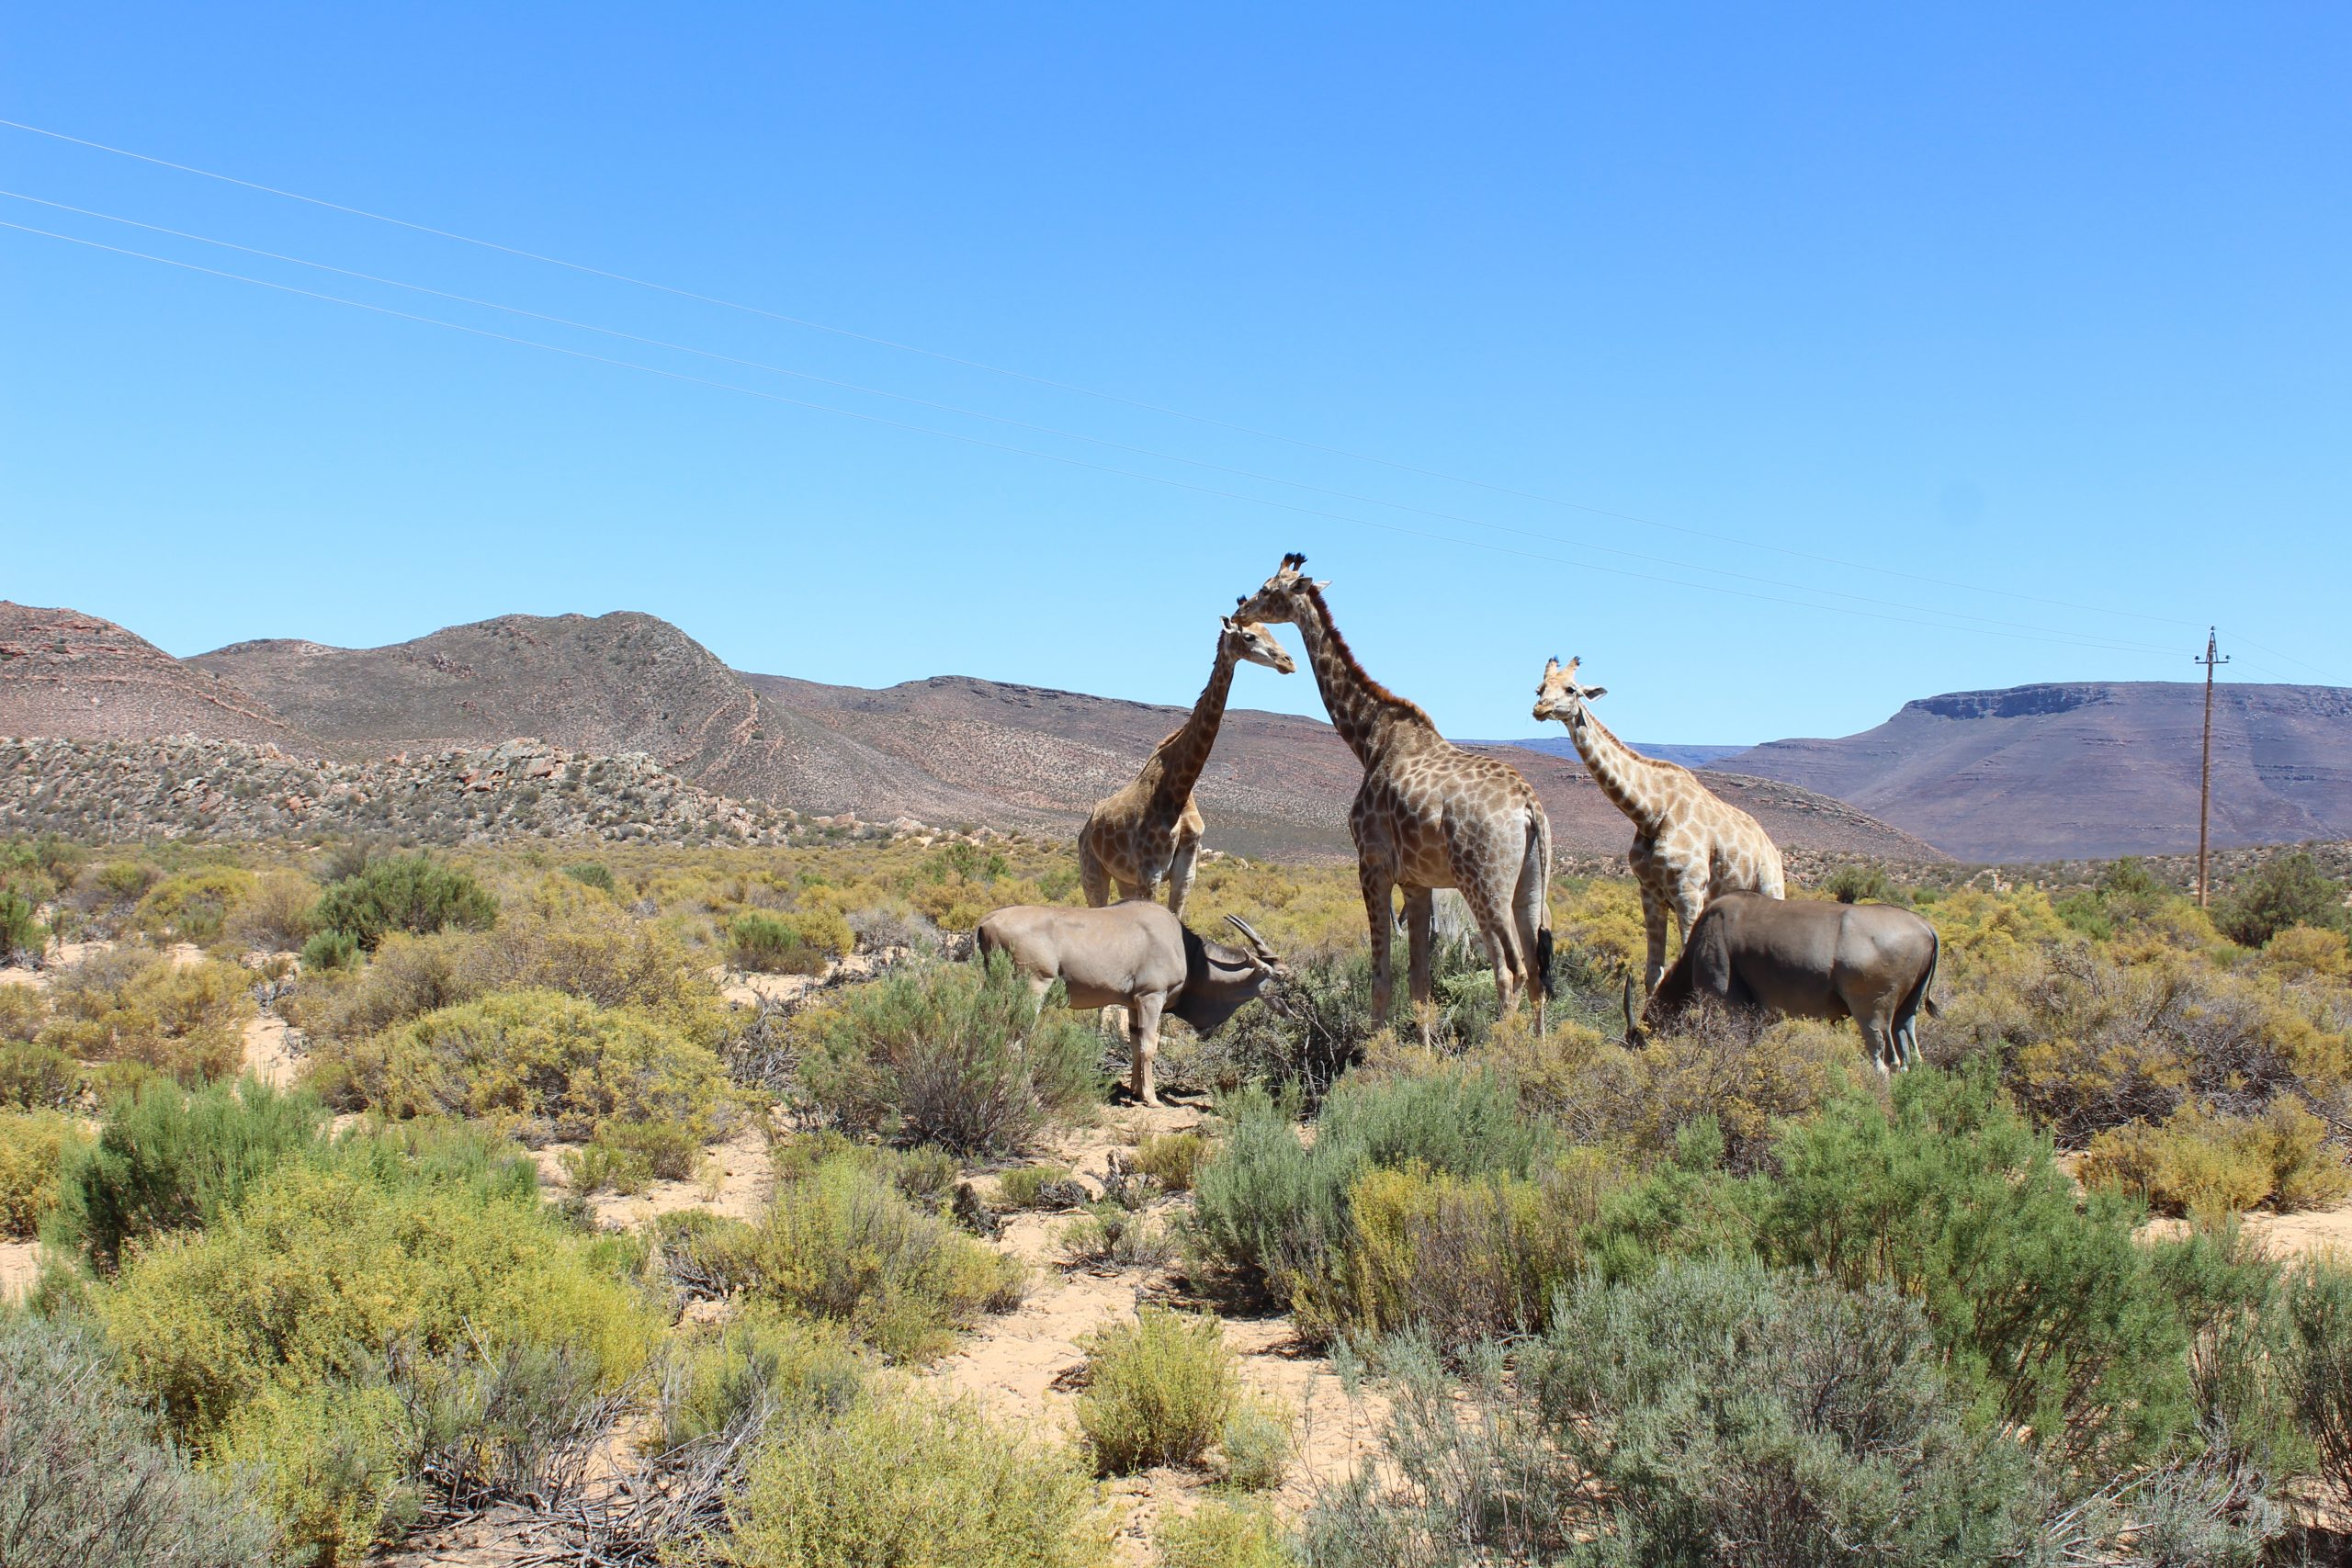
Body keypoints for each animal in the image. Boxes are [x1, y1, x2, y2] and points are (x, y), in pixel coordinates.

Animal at [1077, 615, 1298, 921]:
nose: (1288, 662)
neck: (1179, 789)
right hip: (1092, 870)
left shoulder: (1186, 875)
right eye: (1250, 636)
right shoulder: (1150, 871)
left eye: (1271, 630)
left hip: (1123, 878)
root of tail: (1087, 826)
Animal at [1241, 554, 1552, 1043]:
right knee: (1537, 969)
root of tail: (1529, 807)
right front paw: (1421, 1052)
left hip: (1483, 881)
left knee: (1510, 969)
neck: (1368, 737)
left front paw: (1373, 1051)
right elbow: (1420, 979)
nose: (1239, 610)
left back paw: (1500, 1051)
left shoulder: (1372, 865)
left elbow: (1381, 975)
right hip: (1531, 883)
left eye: (1268, 589)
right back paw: (1538, 1051)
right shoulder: (1417, 882)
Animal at [1523, 658, 1778, 1001]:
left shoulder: (1688, 892)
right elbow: (1652, 973)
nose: (1541, 708)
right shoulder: (1650, 893)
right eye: (1539, 689)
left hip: (1770, 888)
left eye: (1571, 689)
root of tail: (1772, 849)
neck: (1650, 813)